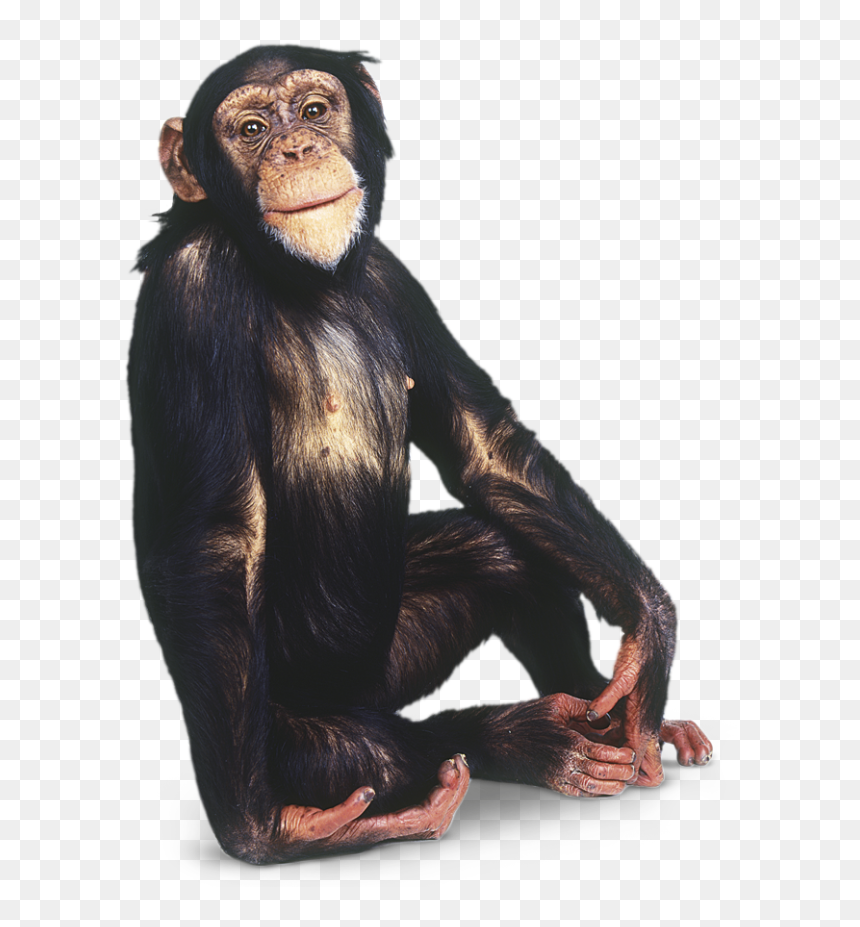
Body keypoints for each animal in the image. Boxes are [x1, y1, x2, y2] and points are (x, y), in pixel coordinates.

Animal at [129, 45, 712, 864]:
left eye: (314, 110)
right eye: (249, 129)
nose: (295, 148)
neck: (308, 279)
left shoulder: (395, 278)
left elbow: (483, 444)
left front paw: (647, 640)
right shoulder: (192, 293)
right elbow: (219, 538)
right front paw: (255, 828)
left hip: (399, 656)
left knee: (497, 551)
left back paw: (610, 718)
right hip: (291, 714)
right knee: (346, 752)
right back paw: (521, 739)